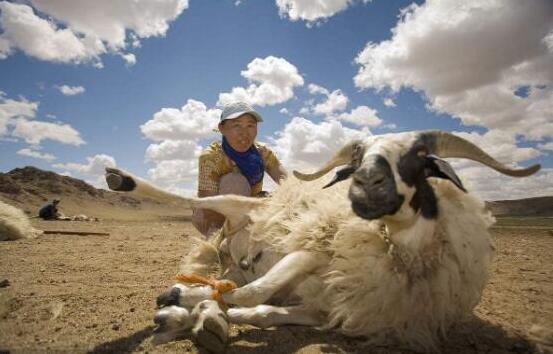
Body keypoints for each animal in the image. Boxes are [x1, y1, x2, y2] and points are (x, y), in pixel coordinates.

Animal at [104, 130, 540, 352]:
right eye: (358, 157)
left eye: (418, 157)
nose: (365, 183)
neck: (400, 253)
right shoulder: (309, 250)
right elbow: (253, 292)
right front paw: (191, 302)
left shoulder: (333, 310)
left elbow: (260, 309)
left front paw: (201, 314)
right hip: (233, 204)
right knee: (188, 200)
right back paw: (120, 179)